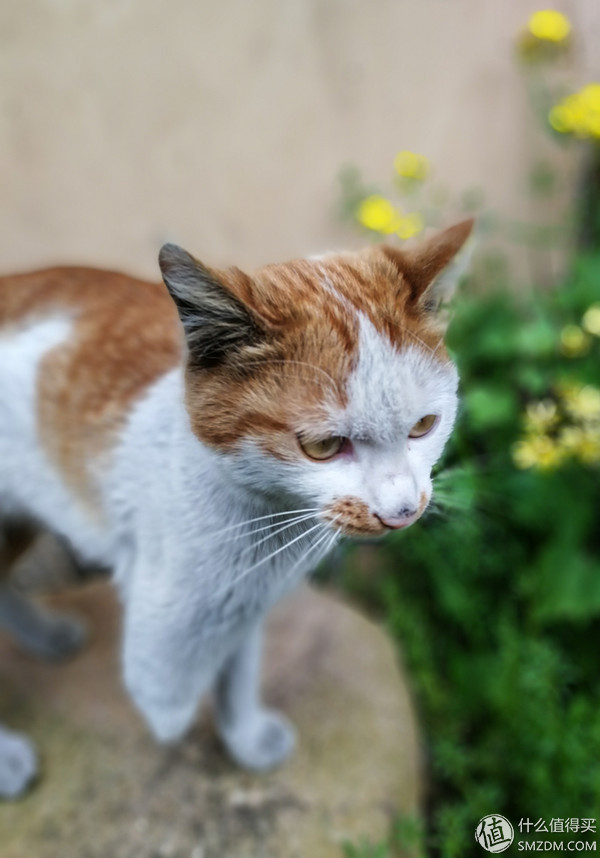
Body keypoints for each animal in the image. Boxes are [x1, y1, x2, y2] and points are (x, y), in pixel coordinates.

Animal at [0, 221, 474, 796]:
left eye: (424, 426)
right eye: (323, 446)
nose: (403, 509)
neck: (266, 526)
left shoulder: (247, 602)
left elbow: (237, 671)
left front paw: (243, 737)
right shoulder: (174, 601)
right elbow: (170, 683)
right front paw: (180, 721)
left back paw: (44, 636)